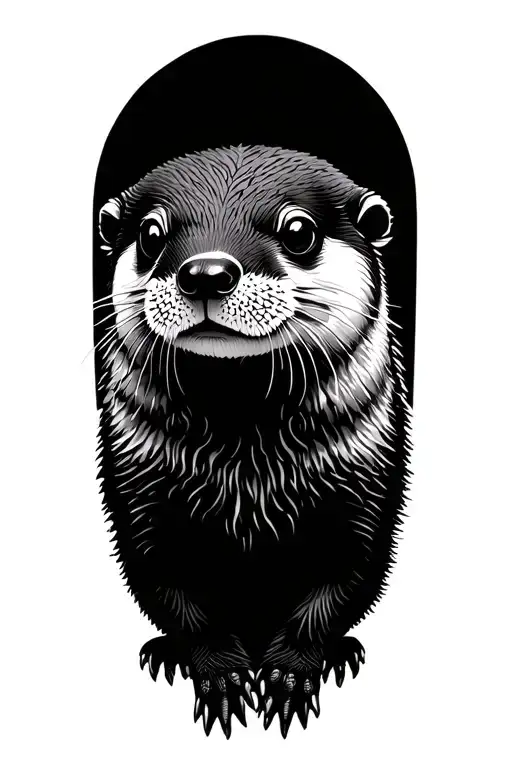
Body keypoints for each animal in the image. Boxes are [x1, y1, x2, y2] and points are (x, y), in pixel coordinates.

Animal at [95, 144, 411, 738]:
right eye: (151, 234)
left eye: (299, 231)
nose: (206, 273)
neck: (248, 473)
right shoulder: (138, 496)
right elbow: (173, 589)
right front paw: (220, 673)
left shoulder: (367, 492)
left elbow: (342, 581)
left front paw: (290, 674)